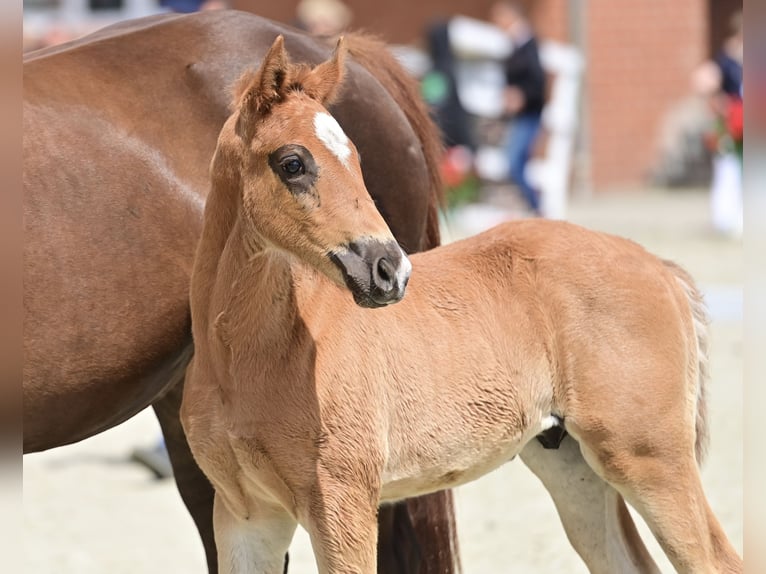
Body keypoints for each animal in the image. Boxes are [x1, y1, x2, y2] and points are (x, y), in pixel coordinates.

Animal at [182, 37, 744, 574]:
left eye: (358, 159)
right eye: (292, 163)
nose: (389, 269)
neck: (248, 356)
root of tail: (660, 267)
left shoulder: (341, 503)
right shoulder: (246, 515)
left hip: (648, 457)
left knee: (717, 560)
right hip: (572, 463)